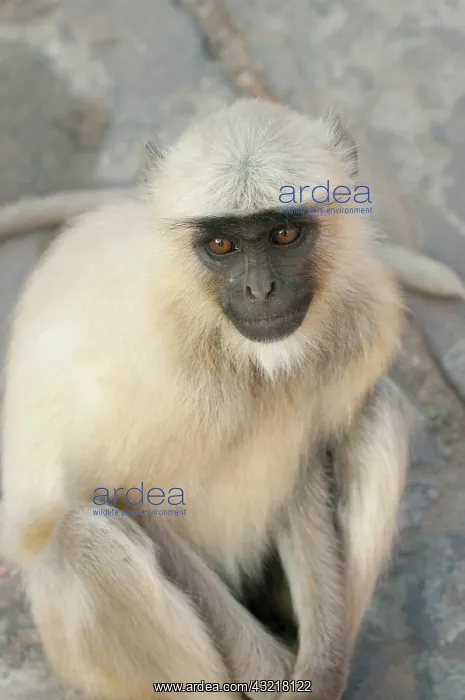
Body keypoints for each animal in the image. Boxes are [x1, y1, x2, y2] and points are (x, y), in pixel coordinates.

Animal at [0, 98, 410, 700]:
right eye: (222, 244)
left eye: (284, 234)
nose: (260, 291)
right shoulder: (151, 362)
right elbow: (116, 493)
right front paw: (272, 674)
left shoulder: (359, 321)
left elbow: (303, 466)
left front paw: (321, 672)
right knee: (86, 537)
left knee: (382, 411)